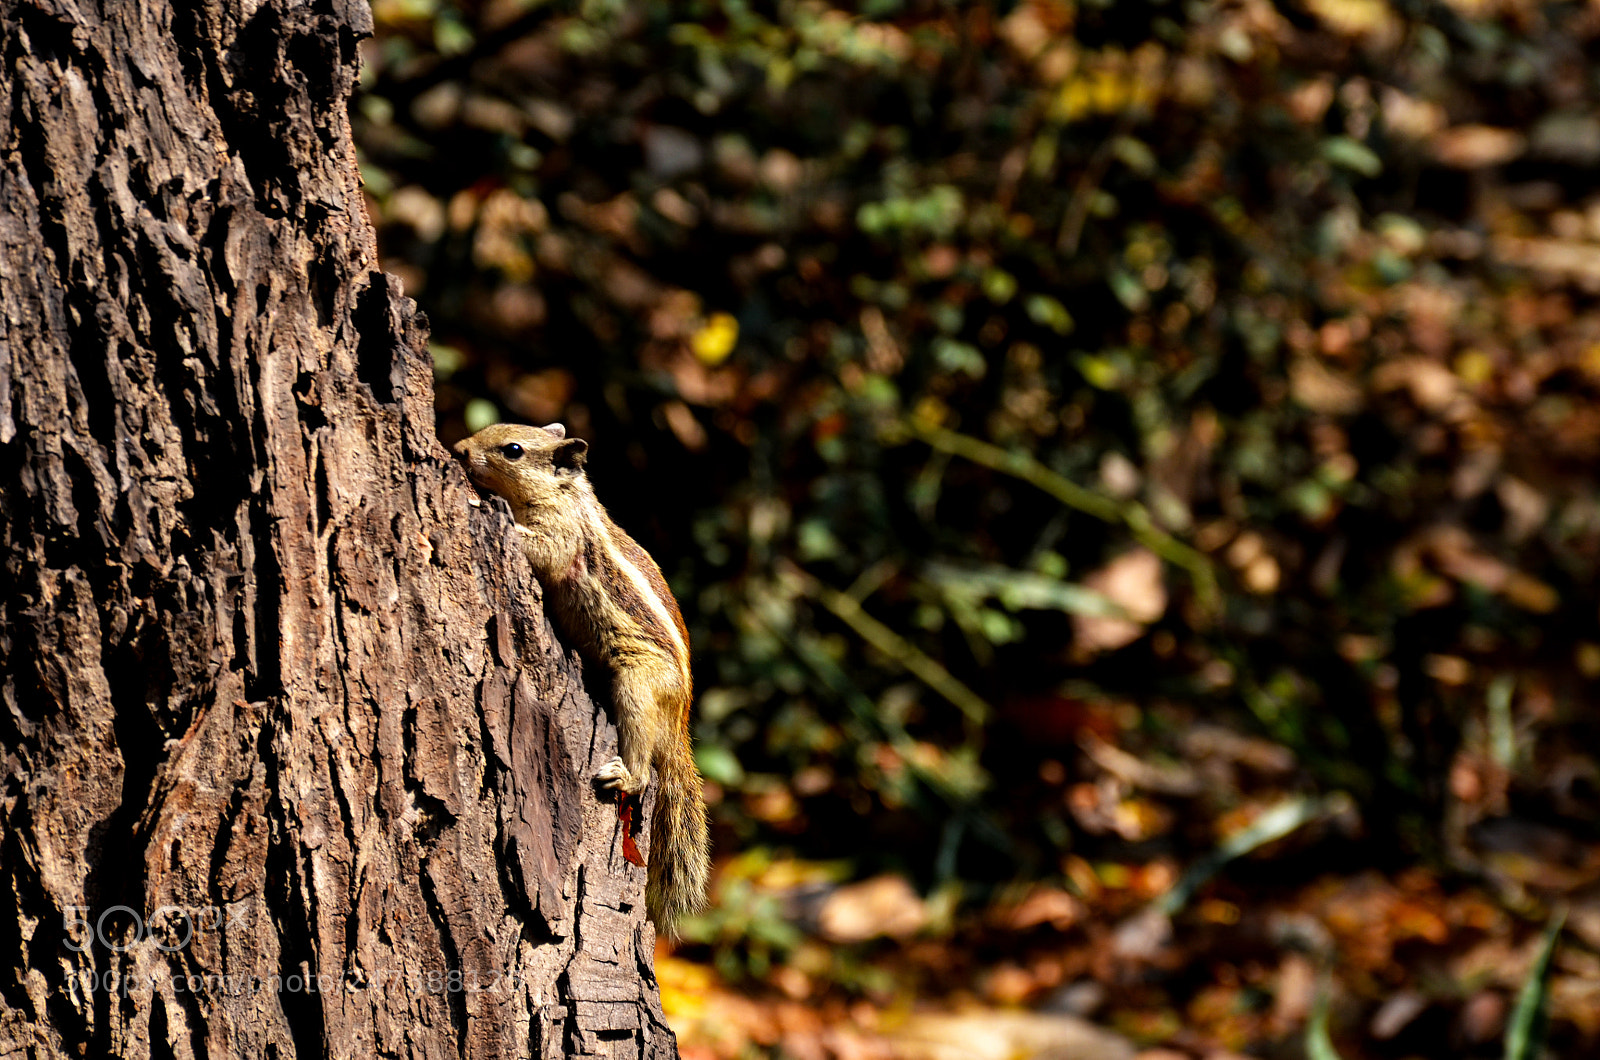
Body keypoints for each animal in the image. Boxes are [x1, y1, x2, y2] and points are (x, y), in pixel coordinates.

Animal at [453, 422, 710, 935]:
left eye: (513, 450)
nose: (458, 450)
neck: (570, 495)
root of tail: (681, 715)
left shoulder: (561, 533)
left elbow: (540, 548)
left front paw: (476, 503)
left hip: (638, 685)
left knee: (644, 769)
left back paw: (626, 774)